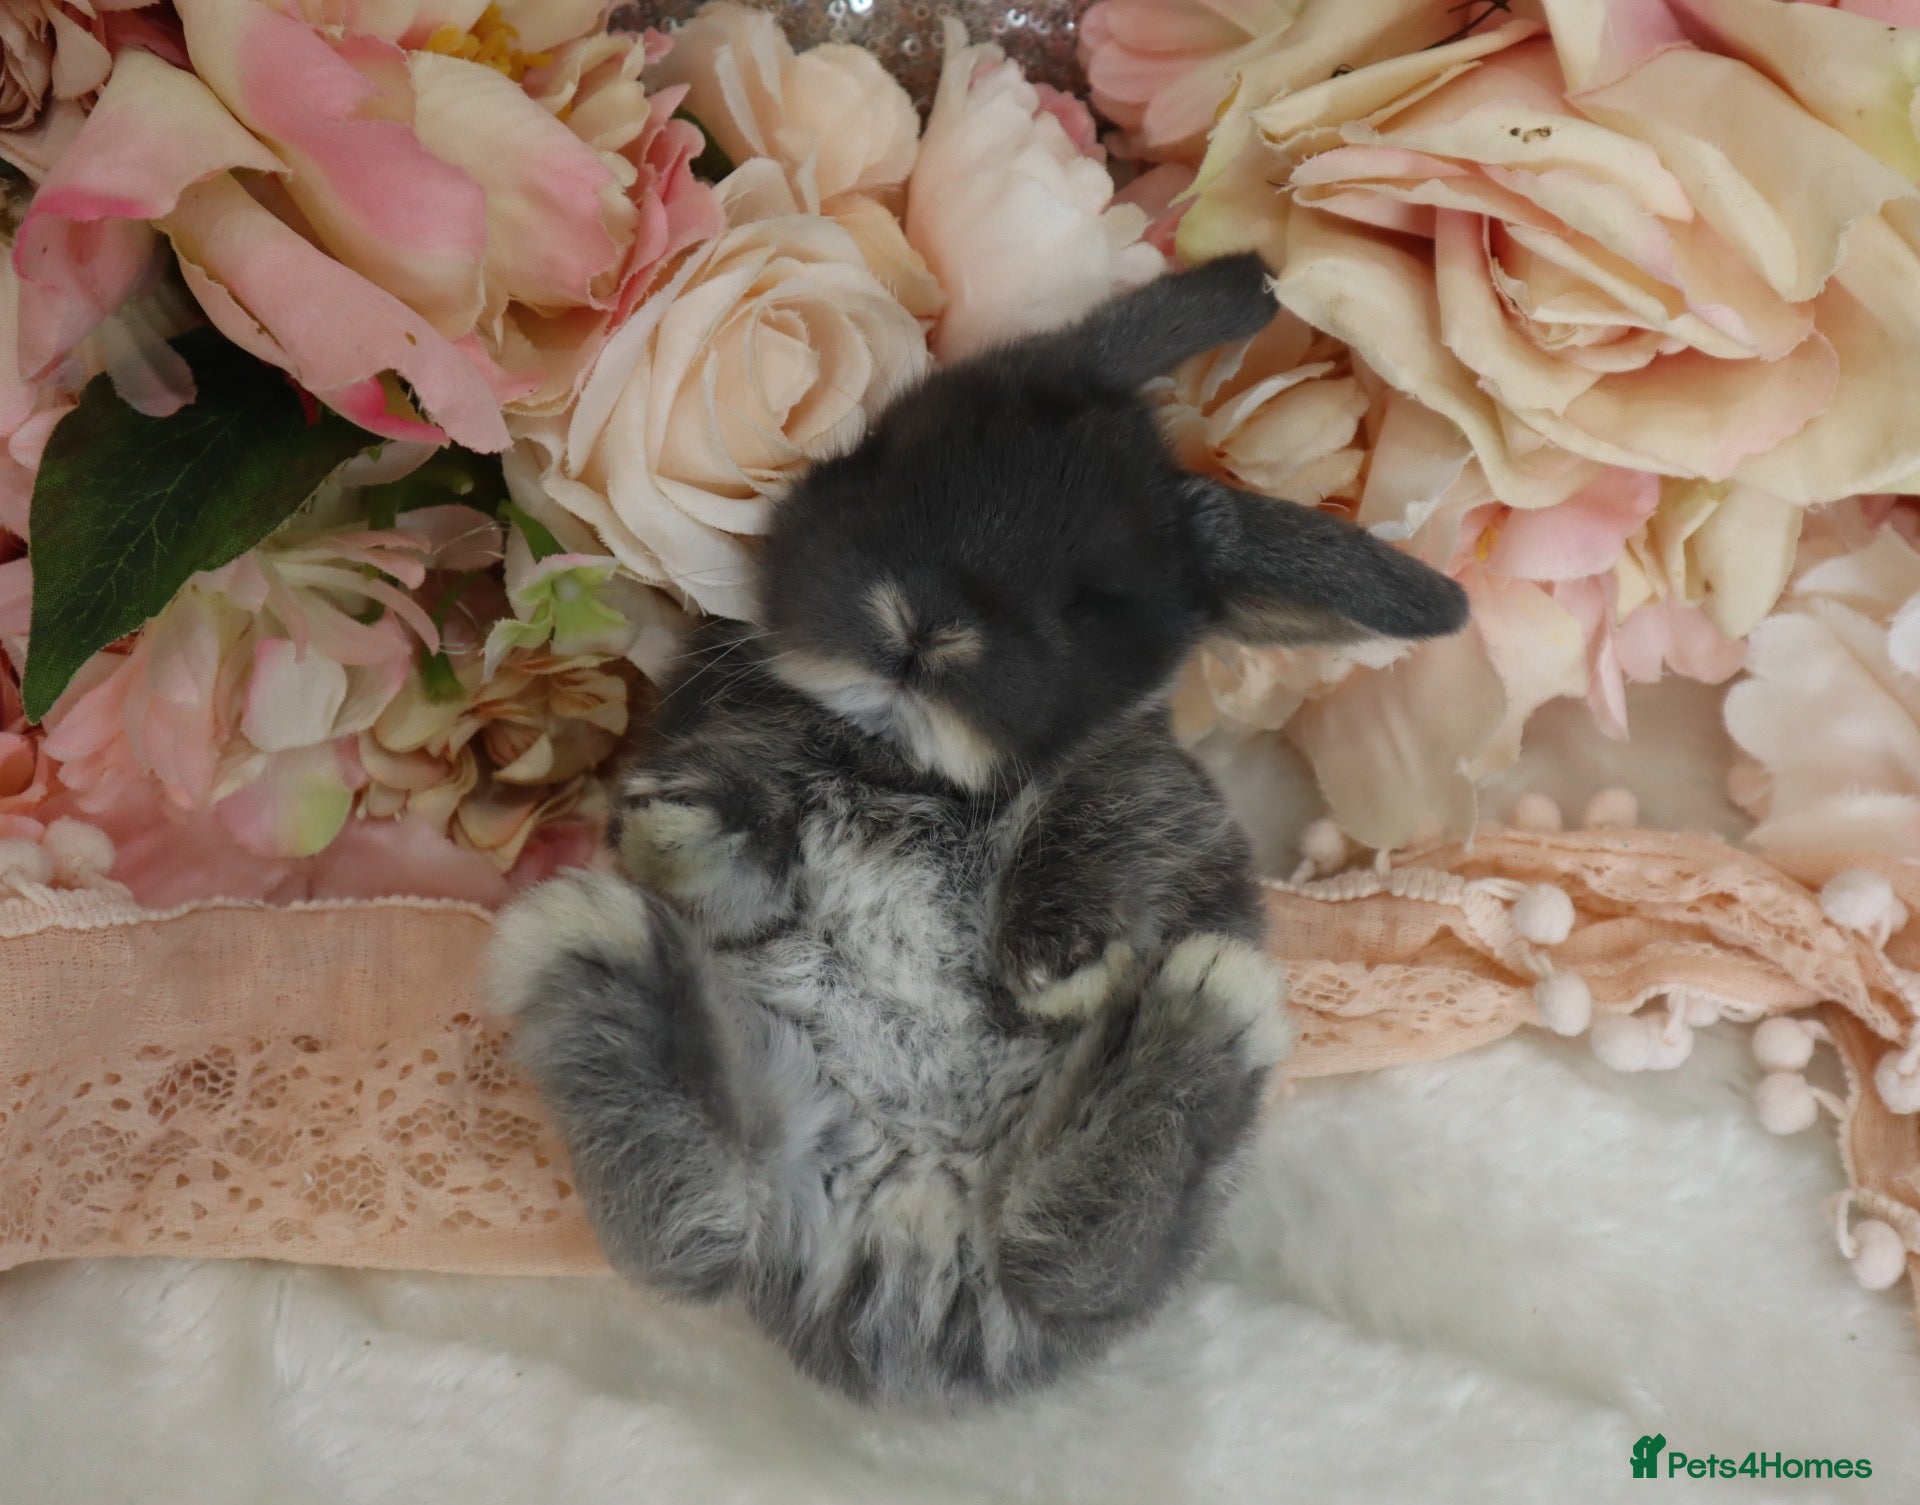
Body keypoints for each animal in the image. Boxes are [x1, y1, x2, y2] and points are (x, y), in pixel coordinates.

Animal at [487, 254, 1469, 1406]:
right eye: (885, 455)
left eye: (1093, 599)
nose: (924, 624)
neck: (901, 762)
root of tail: (907, 1241)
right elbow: (744, 847)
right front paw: (668, 826)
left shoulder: (1148, 790)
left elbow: (1107, 823)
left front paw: (1060, 964)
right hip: (761, 1119)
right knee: (700, 1228)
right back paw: (598, 939)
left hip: (1094, 1231)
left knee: (1069, 1258)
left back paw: (1204, 1003)